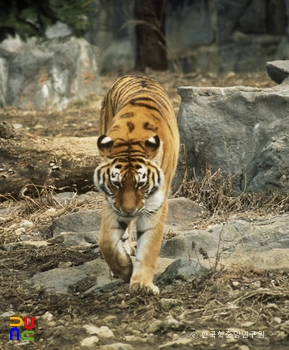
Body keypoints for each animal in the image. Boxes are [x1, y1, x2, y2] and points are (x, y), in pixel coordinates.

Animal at [93, 74, 179, 296]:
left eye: (142, 184)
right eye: (116, 183)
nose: (129, 210)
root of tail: (137, 75)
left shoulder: (155, 205)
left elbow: (149, 245)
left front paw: (142, 284)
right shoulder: (111, 202)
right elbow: (106, 242)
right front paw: (123, 269)